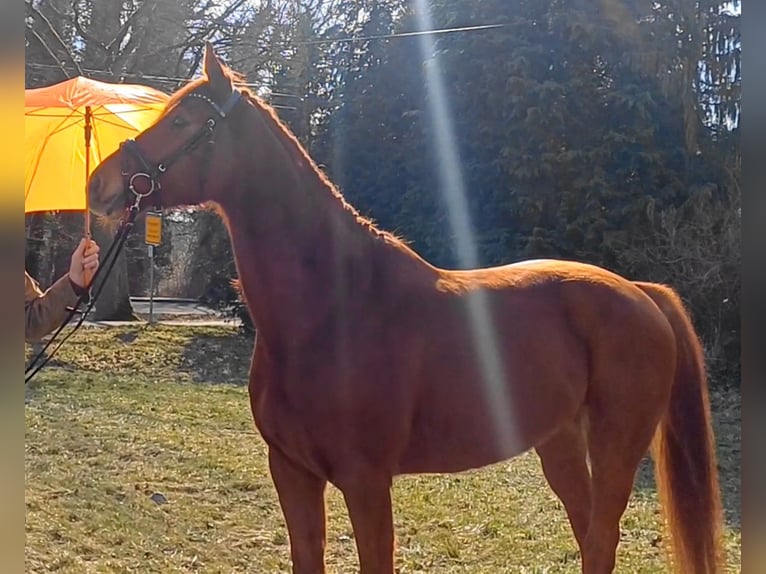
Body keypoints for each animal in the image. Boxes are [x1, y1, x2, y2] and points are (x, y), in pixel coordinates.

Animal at [87, 42, 723, 574]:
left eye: (184, 122)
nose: (100, 185)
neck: (330, 313)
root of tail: (639, 291)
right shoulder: (292, 472)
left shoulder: (366, 481)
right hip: (559, 442)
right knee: (589, 533)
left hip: (617, 446)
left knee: (600, 537)